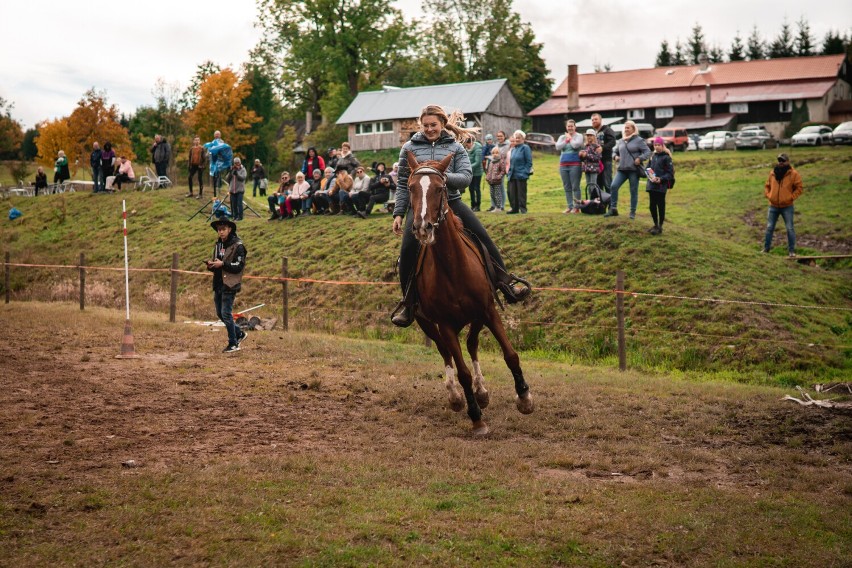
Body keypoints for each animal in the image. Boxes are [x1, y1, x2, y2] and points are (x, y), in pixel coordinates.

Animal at [404, 150, 532, 434]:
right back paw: (455, 396)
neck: (453, 267)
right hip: (426, 322)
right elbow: (461, 369)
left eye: (440, 188)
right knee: (446, 352)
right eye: (410, 187)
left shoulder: (488, 310)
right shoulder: (444, 324)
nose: (422, 228)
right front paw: (476, 418)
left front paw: (524, 397)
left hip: (476, 317)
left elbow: (510, 355)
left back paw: (482, 391)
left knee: (472, 344)